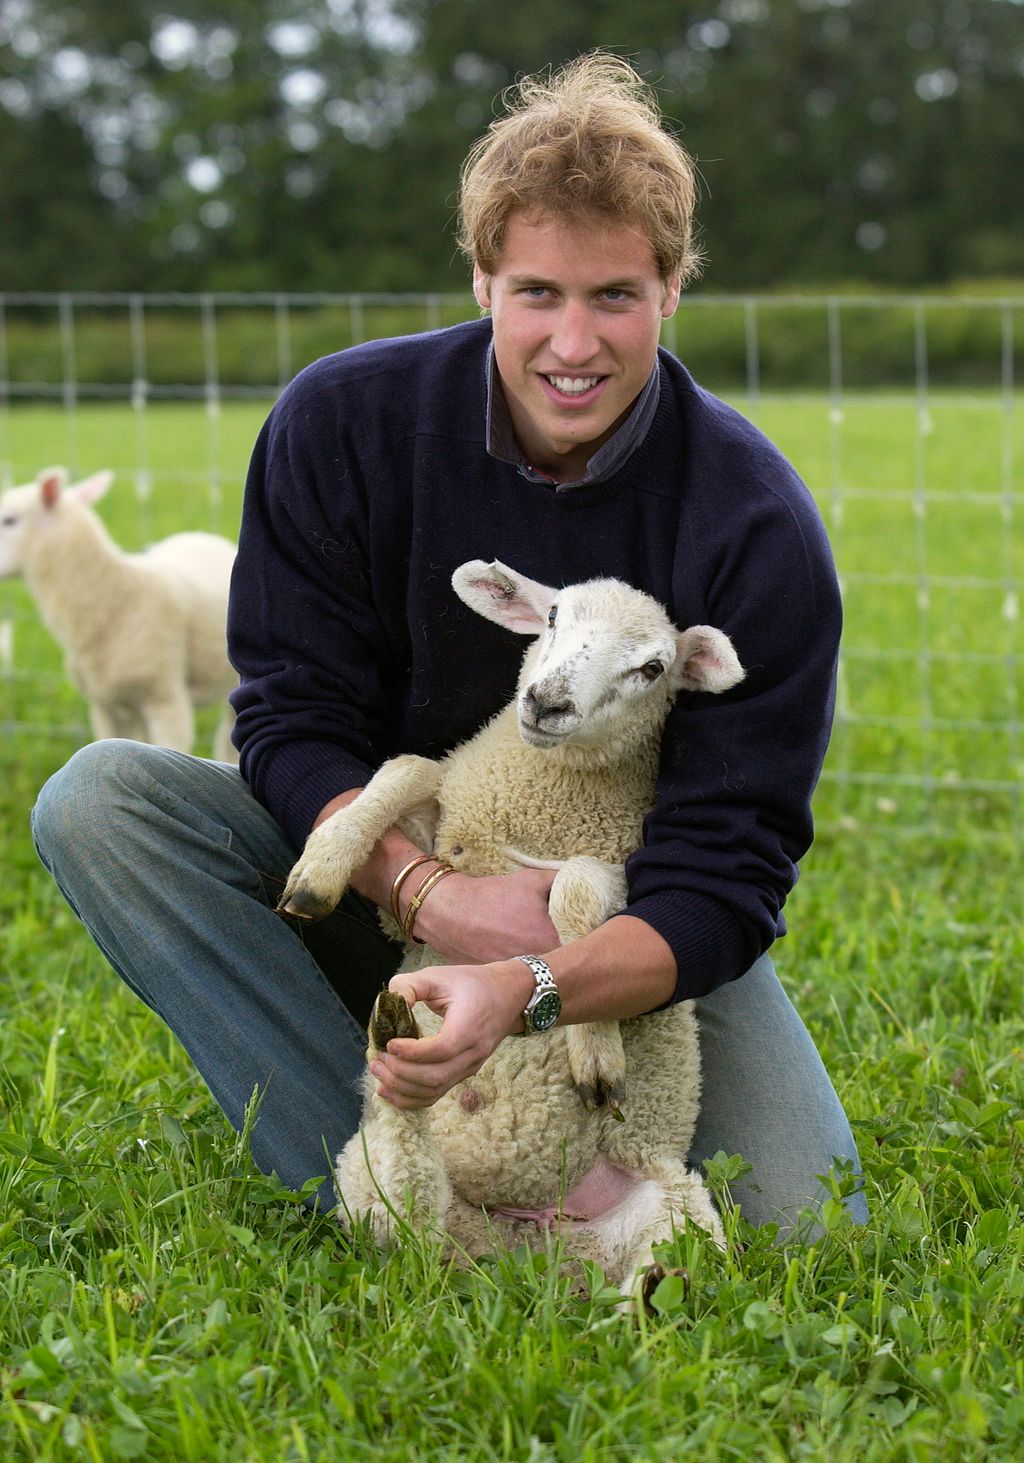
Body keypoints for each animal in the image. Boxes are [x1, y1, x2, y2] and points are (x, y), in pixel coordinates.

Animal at [279, 559, 745, 1297]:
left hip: (679, 1199)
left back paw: (646, 1294)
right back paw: (395, 1042)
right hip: (371, 1179)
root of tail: (534, 1254)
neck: (539, 795)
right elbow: (408, 768)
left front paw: (596, 1054)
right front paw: (321, 865)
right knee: (406, 1215)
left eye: (652, 668)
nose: (546, 702)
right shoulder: (420, 883)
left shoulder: (625, 873)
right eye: (553, 616)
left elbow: (573, 889)